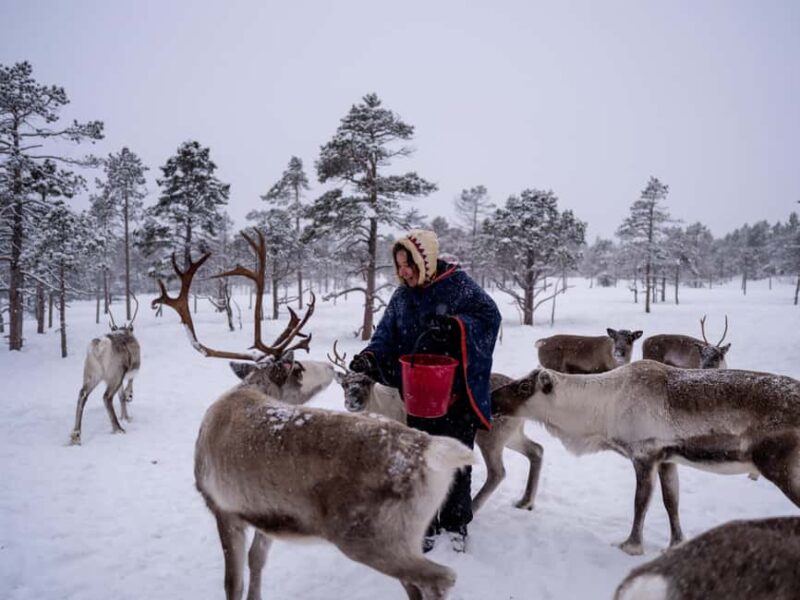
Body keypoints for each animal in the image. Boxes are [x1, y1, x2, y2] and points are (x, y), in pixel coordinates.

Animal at [71, 296, 140, 445]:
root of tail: (99, 346)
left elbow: (121, 397)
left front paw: (124, 417)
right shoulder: (132, 371)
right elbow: (127, 389)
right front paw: (128, 402)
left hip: (92, 373)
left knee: (82, 394)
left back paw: (76, 434)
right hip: (115, 375)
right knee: (107, 397)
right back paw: (118, 428)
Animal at [153, 229, 472, 600]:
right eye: (299, 368)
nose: (326, 366)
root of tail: (434, 449)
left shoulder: (223, 508)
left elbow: (232, 582)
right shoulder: (264, 517)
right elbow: (257, 561)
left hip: (371, 537)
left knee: (441, 578)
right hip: (405, 536)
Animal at [327, 341, 544, 512]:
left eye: (367, 382)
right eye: (344, 385)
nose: (352, 403)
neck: (381, 408)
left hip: (491, 437)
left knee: (498, 472)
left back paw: (474, 507)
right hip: (511, 434)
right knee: (537, 449)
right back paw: (526, 502)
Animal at [491, 360, 800, 555]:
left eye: (523, 387)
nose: (491, 396)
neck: (601, 409)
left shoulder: (644, 455)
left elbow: (641, 503)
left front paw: (631, 546)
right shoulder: (667, 459)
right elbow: (671, 502)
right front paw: (676, 543)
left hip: (781, 467)